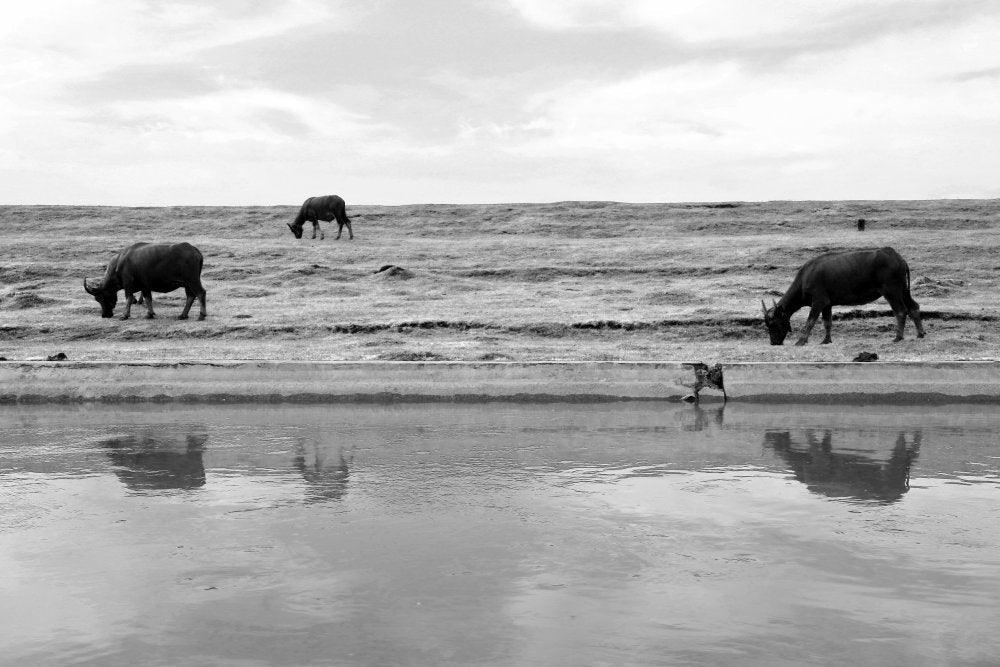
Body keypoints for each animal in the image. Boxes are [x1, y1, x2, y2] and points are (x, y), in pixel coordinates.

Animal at [762, 247, 925, 345]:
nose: (773, 342)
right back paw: (920, 334)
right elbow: (827, 322)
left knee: (901, 311)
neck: (805, 277)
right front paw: (826, 340)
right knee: (914, 307)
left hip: (891, 291)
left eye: (774, 323)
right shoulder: (827, 304)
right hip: (903, 290)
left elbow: (810, 321)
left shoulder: (818, 302)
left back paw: (898, 337)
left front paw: (801, 341)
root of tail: (898, 258)